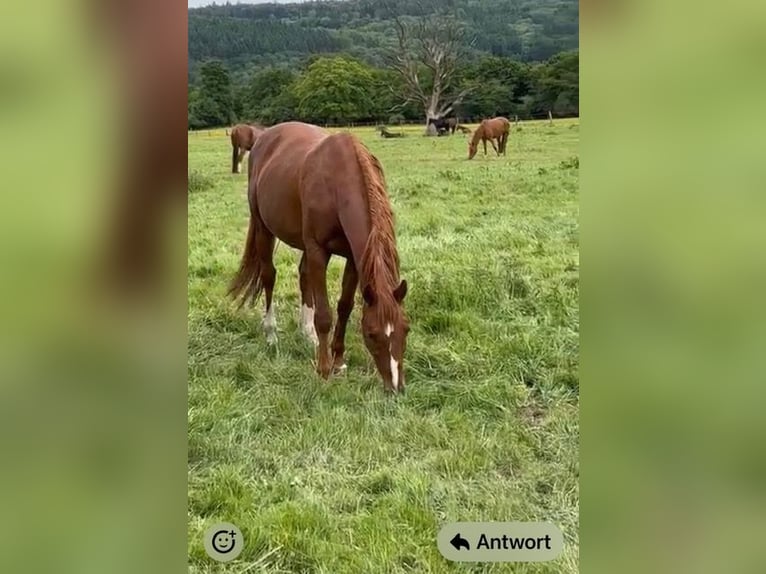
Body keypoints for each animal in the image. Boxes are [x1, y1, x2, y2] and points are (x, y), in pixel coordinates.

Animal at [228, 122, 410, 393]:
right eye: (371, 333)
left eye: (406, 329)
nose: (396, 387)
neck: (336, 184)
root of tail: (263, 137)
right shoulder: (317, 251)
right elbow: (324, 315)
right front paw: (324, 370)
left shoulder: (353, 258)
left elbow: (344, 307)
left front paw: (339, 361)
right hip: (263, 228)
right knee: (269, 276)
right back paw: (271, 334)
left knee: (304, 277)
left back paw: (307, 333)